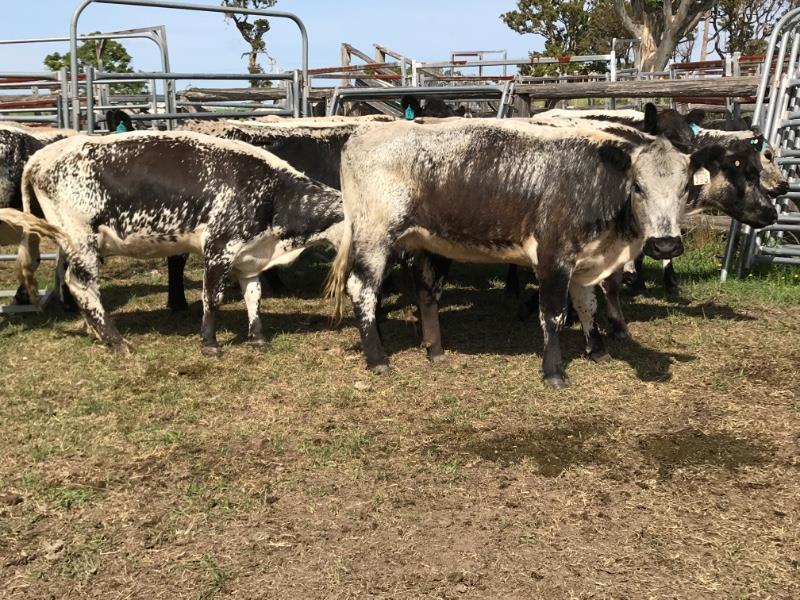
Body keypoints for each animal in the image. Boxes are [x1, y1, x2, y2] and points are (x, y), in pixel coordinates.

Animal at [0, 130, 343, 356]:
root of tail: (44, 154)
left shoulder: (249, 257)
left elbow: (253, 296)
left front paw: (258, 338)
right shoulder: (218, 249)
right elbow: (212, 298)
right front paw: (210, 344)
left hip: (68, 241)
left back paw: (94, 331)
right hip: (81, 238)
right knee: (81, 284)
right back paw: (117, 342)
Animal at [325, 118, 719, 388]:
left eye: (685, 187)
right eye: (637, 186)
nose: (665, 244)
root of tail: (364, 133)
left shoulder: (585, 261)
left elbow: (586, 305)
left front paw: (597, 349)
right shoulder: (553, 257)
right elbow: (553, 314)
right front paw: (554, 371)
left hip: (427, 243)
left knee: (426, 293)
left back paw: (435, 350)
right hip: (375, 237)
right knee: (363, 290)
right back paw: (378, 358)